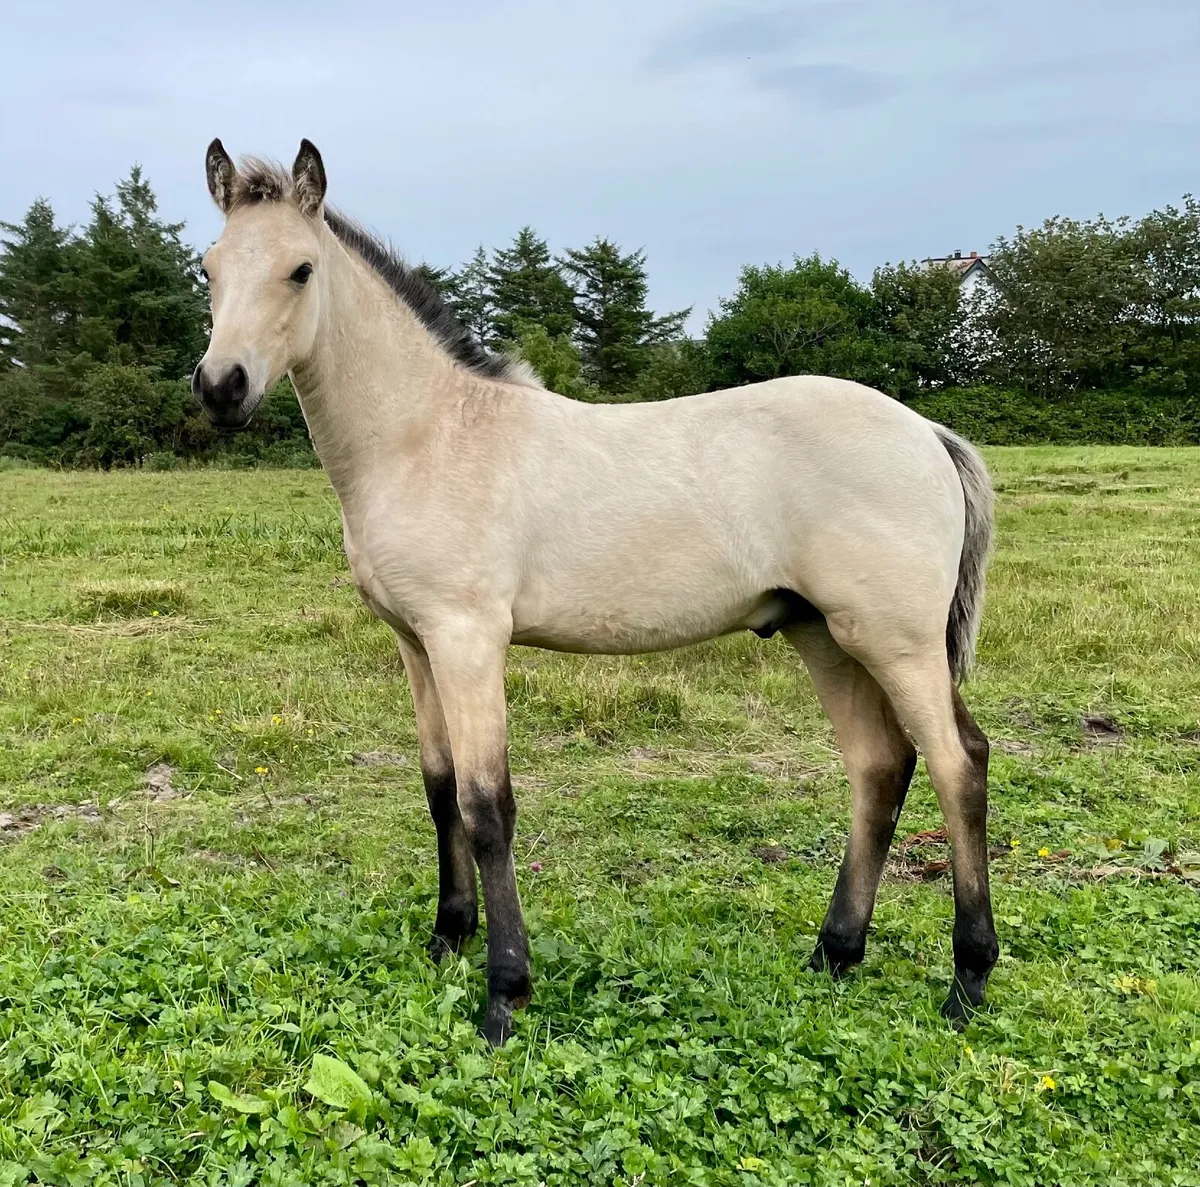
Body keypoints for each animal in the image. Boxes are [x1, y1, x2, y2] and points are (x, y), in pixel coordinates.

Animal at [193, 138, 999, 1045]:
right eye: (208, 267)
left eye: (299, 270)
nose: (220, 387)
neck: (430, 435)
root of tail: (927, 433)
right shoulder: (415, 642)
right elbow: (438, 789)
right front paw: (446, 938)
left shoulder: (469, 639)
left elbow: (486, 805)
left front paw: (504, 994)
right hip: (824, 633)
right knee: (878, 767)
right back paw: (834, 953)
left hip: (896, 640)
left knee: (958, 765)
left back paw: (967, 980)